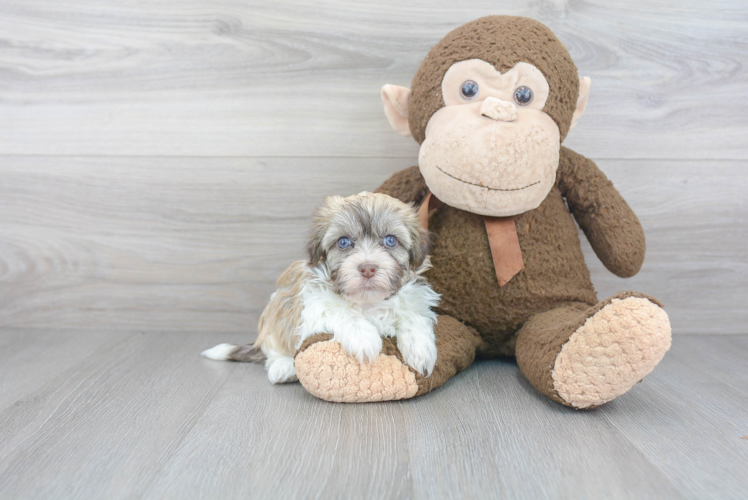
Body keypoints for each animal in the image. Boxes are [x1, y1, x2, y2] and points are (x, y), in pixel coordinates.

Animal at [202, 191, 442, 382]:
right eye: (343, 242)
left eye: (391, 241)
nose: (367, 268)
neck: (368, 303)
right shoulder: (313, 305)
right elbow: (340, 310)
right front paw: (363, 338)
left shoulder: (415, 298)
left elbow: (413, 315)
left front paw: (421, 350)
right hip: (276, 311)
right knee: (275, 347)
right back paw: (283, 367)